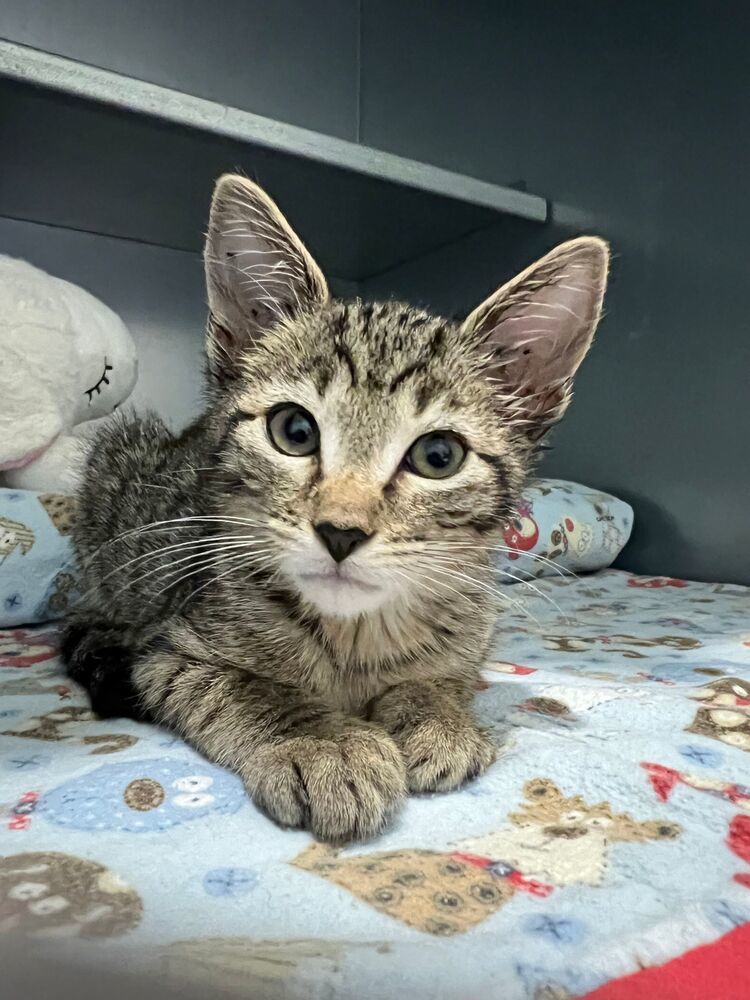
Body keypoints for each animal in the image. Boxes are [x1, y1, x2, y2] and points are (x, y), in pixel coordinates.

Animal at [64, 174, 612, 844]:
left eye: (438, 455)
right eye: (294, 430)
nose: (340, 531)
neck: (355, 636)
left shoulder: (471, 641)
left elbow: (444, 678)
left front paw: (434, 712)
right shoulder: (166, 652)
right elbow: (249, 689)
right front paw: (326, 743)